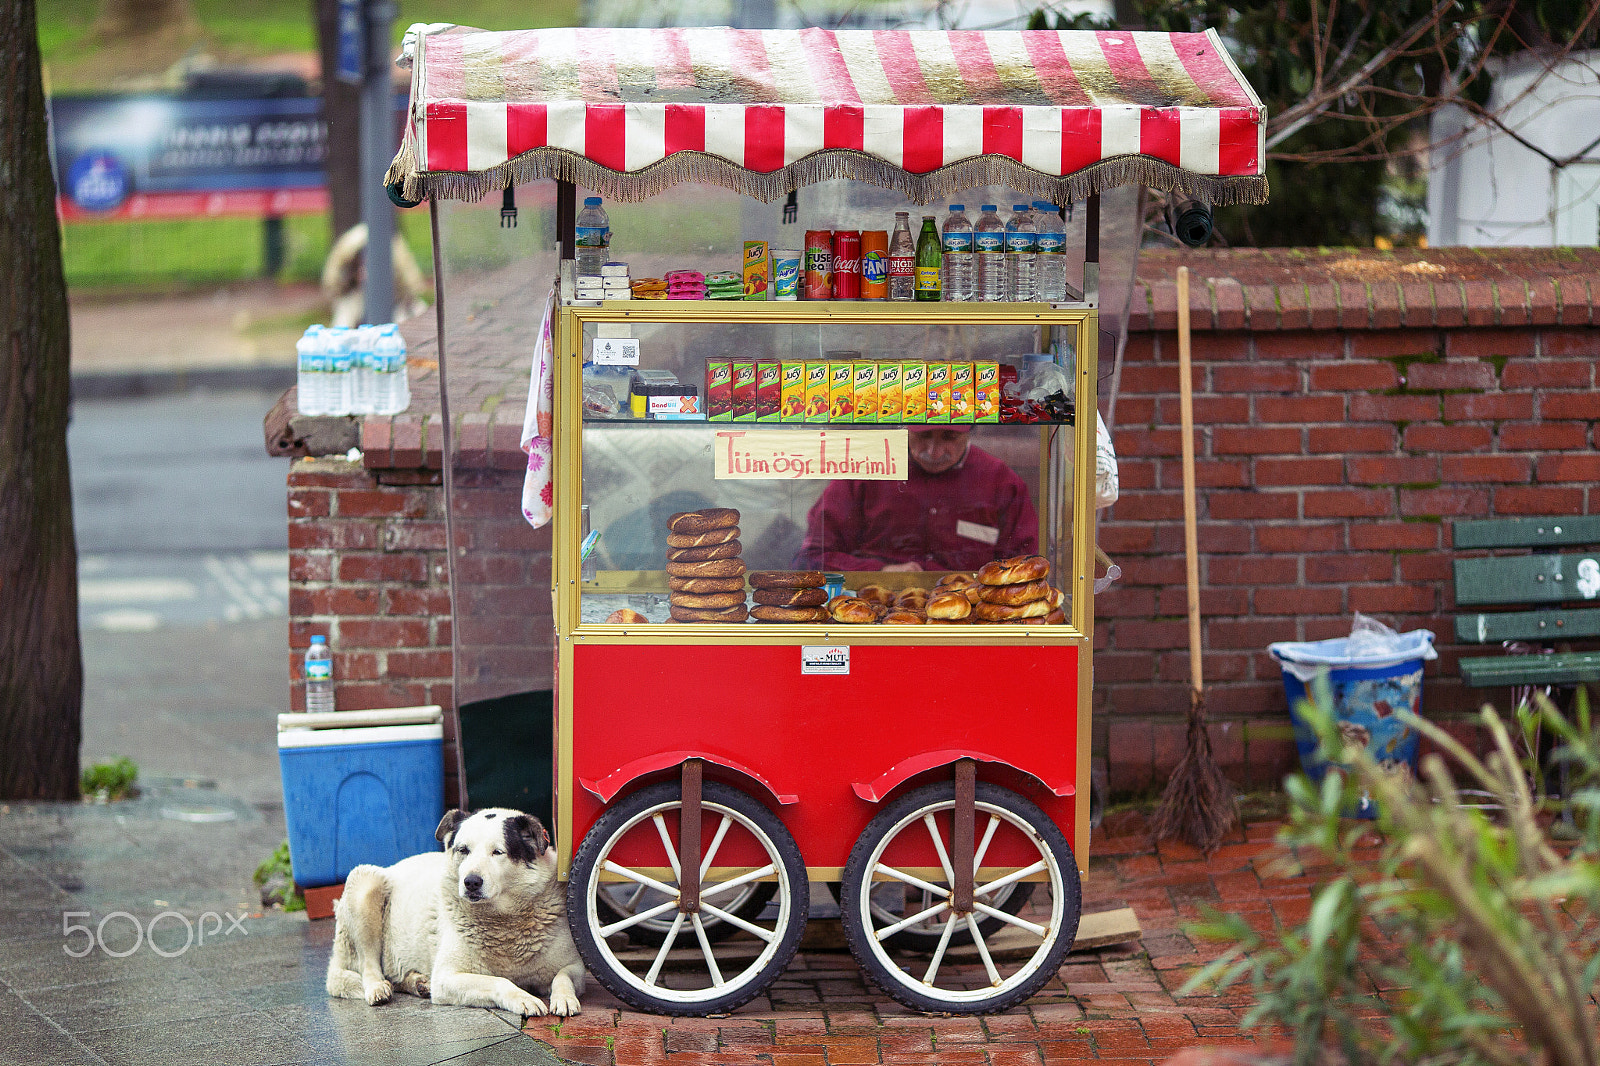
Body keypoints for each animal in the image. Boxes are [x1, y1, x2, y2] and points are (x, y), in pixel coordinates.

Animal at [321, 806, 585, 1011]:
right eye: (463, 850)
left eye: (497, 852)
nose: (471, 882)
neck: (503, 921)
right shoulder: (447, 979)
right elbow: (499, 981)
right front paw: (522, 998)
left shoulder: (576, 967)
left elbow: (562, 977)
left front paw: (564, 999)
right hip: (366, 881)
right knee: (369, 964)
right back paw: (378, 988)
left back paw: (417, 983)